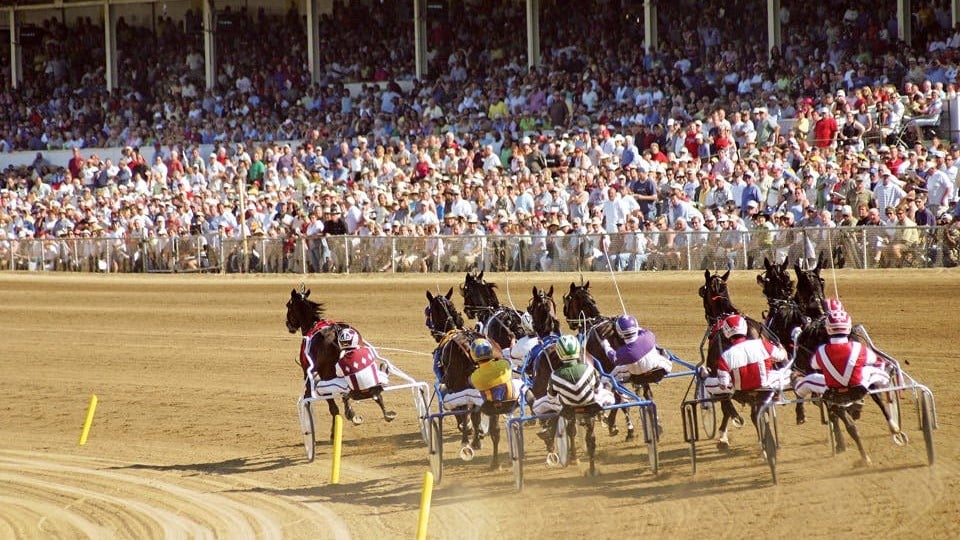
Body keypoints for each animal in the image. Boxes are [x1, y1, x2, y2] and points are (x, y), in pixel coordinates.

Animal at [284, 286, 394, 438]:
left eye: (288, 306)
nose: (288, 324)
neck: (313, 326)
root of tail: (337, 331)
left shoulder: (307, 370)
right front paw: (351, 412)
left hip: (325, 375)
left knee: (333, 405)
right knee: (374, 393)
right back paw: (384, 410)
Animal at [424, 288, 510, 470]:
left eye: (430, 311)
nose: (434, 332)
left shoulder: (455, 388)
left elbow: (463, 413)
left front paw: (469, 436)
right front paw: (477, 437)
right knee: (495, 429)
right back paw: (495, 461)